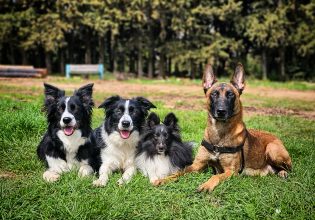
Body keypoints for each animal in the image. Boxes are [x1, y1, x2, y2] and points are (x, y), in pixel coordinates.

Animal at [154, 62, 292, 192]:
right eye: (214, 94)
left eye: (230, 95)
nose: (221, 111)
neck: (219, 135)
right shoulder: (197, 165)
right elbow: (179, 171)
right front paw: (163, 179)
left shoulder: (230, 171)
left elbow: (216, 176)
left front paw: (207, 185)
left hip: (272, 149)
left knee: (289, 167)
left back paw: (283, 173)